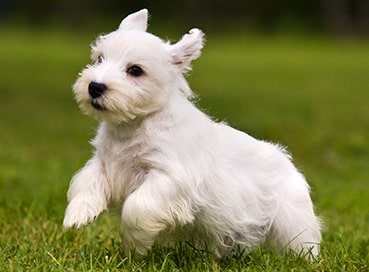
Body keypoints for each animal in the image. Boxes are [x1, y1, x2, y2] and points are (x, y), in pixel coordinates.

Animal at [64, 9, 320, 258]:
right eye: (99, 58)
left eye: (135, 70)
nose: (95, 87)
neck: (134, 126)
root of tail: (286, 159)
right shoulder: (104, 162)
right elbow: (86, 182)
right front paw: (77, 215)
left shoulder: (169, 177)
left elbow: (137, 205)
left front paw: (134, 245)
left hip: (292, 222)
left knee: (304, 244)